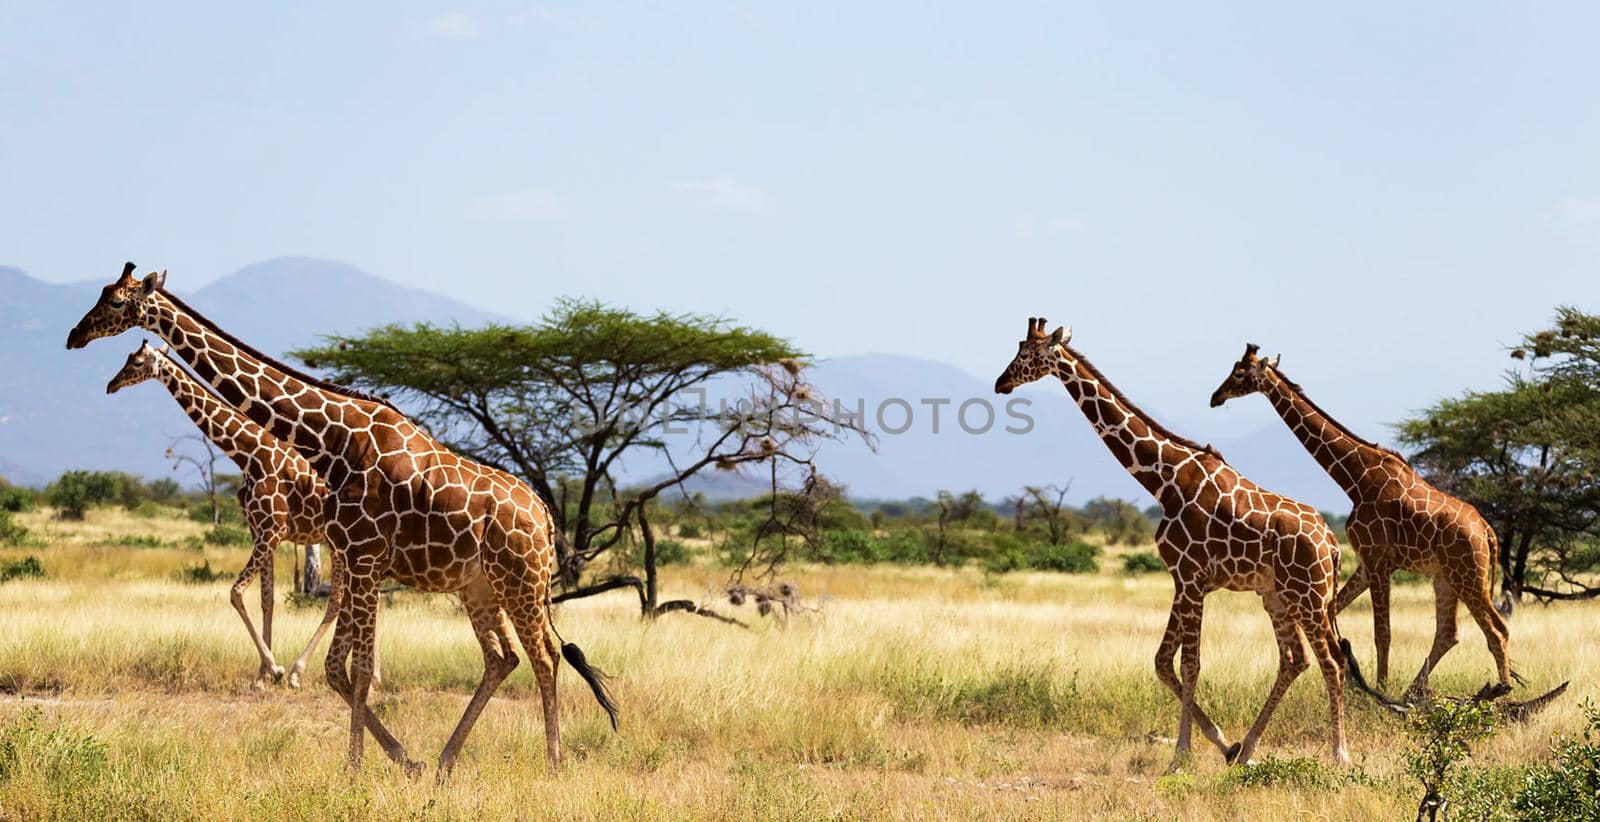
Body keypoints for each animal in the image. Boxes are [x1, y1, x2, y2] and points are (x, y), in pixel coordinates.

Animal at [107, 335, 356, 687]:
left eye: (137, 362)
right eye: (127, 358)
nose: (111, 385)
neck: (250, 455)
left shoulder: (273, 530)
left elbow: (236, 592)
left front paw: (276, 669)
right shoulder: (259, 530)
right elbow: (267, 599)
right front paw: (262, 677)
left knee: (337, 601)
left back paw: (300, 672)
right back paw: (371, 676)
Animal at [998, 316, 1350, 764]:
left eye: (1026, 354)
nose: (1001, 383)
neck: (1164, 481)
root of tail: (1333, 544)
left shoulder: (1191, 578)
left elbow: (1189, 665)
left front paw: (1181, 752)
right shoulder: (1181, 581)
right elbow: (1163, 662)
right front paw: (1224, 742)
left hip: (1310, 596)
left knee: (1332, 662)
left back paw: (1339, 755)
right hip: (1277, 595)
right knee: (1295, 660)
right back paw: (1247, 749)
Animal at [1209, 340, 1510, 697]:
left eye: (1240, 372)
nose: (1215, 397)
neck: (1355, 478)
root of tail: (1487, 530)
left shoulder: (1378, 560)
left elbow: (1383, 633)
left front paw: (1378, 688)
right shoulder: (1366, 563)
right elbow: (1336, 610)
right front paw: (1355, 677)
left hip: (1468, 574)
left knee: (1497, 629)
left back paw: (1503, 691)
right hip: (1445, 576)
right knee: (1449, 633)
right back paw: (1413, 692)